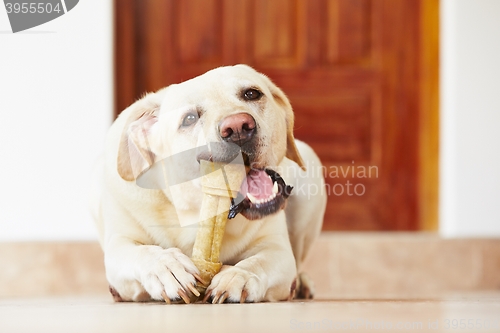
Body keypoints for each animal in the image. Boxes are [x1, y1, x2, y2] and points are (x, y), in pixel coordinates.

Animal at [91, 63, 326, 302]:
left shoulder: (277, 248)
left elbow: (258, 262)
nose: (238, 128)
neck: (194, 210)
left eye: (251, 94)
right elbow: (141, 252)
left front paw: (239, 276)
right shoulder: (119, 245)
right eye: (189, 119)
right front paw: (166, 267)